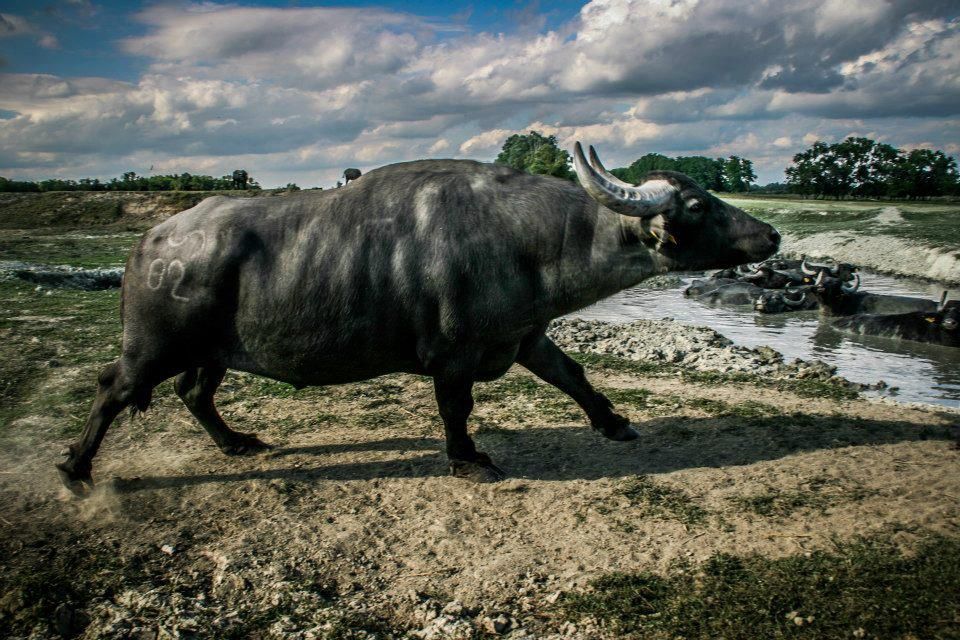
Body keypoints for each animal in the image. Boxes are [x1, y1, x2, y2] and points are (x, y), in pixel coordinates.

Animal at [57, 143, 779, 494]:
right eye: (698, 206)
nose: (770, 236)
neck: (527, 240)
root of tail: (151, 241)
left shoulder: (524, 337)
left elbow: (572, 376)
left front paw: (615, 423)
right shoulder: (455, 355)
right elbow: (456, 409)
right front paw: (469, 460)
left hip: (214, 351)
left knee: (194, 393)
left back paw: (235, 442)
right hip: (152, 346)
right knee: (113, 389)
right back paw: (75, 469)